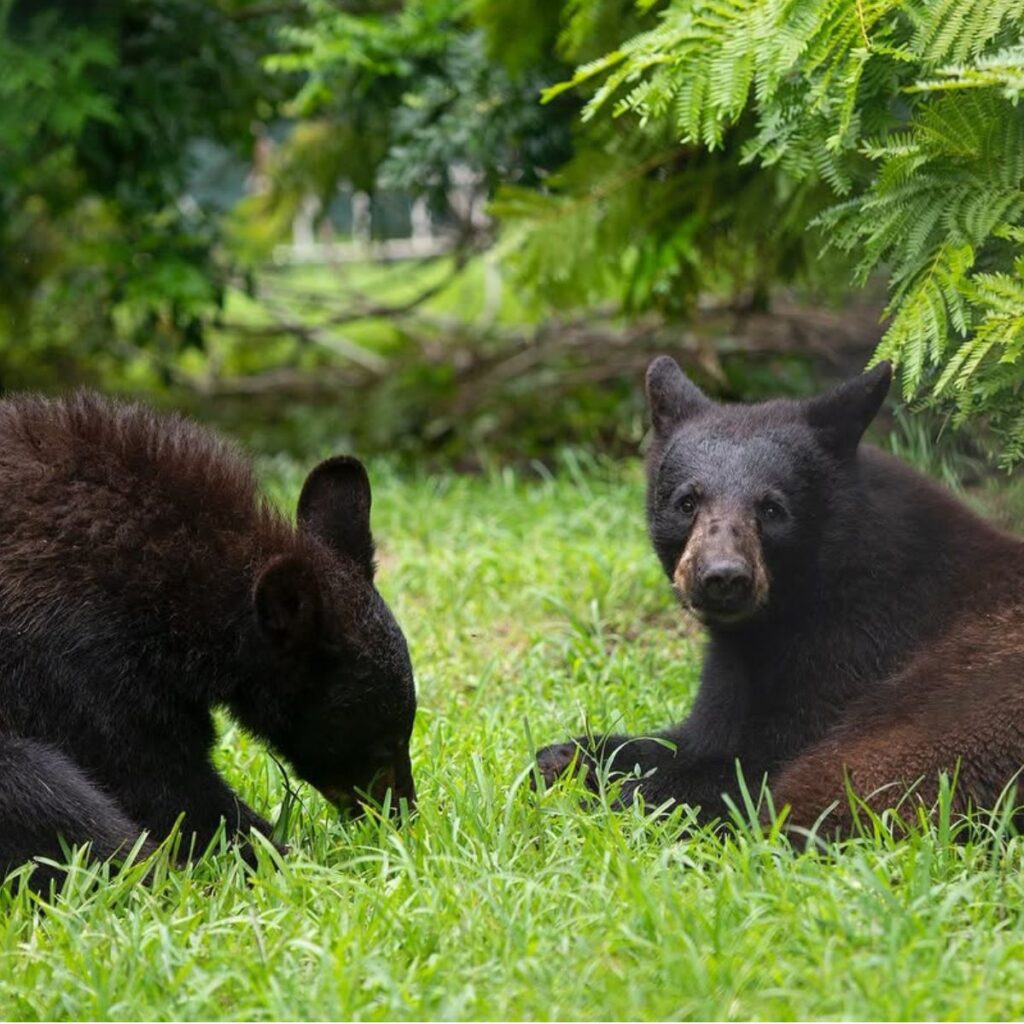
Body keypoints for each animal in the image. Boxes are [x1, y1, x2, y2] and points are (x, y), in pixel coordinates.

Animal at [536, 356, 1024, 835]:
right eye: (686, 502)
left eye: (772, 508)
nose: (723, 577)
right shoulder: (734, 667)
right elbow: (695, 734)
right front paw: (564, 756)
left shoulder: (857, 644)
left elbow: (755, 759)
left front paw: (632, 794)